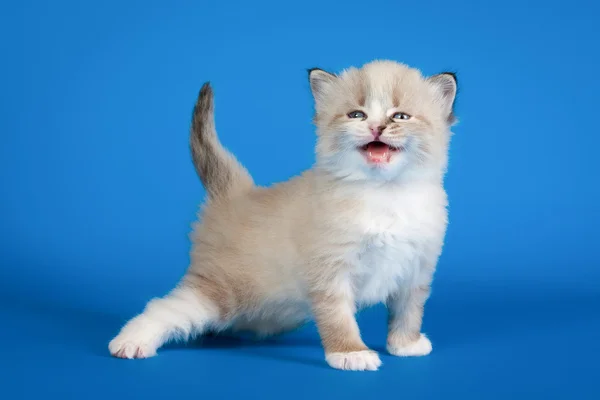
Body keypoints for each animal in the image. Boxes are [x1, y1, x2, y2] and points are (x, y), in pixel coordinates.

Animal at [108, 60, 458, 372]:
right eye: (357, 114)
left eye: (400, 116)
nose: (376, 127)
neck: (384, 193)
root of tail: (236, 195)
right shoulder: (331, 272)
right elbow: (339, 318)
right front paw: (350, 353)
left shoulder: (417, 268)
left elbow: (408, 311)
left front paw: (405, 344)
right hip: (222, 292)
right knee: (165, 307)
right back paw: (129, 342)